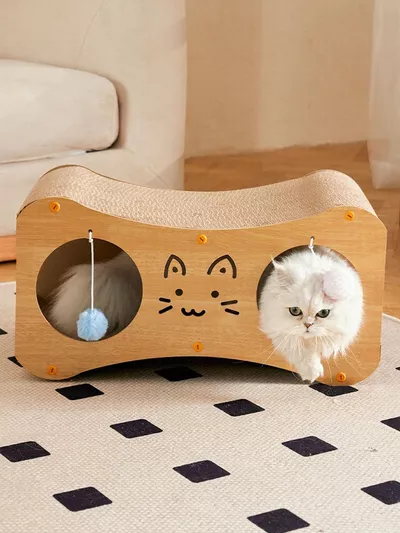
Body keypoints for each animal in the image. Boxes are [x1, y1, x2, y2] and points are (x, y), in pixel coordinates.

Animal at [259, 246, 363, 383]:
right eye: (295, 311)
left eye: (323, 313)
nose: (308, 325)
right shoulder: (279, 331)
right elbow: (301, 351)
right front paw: (311, 372)